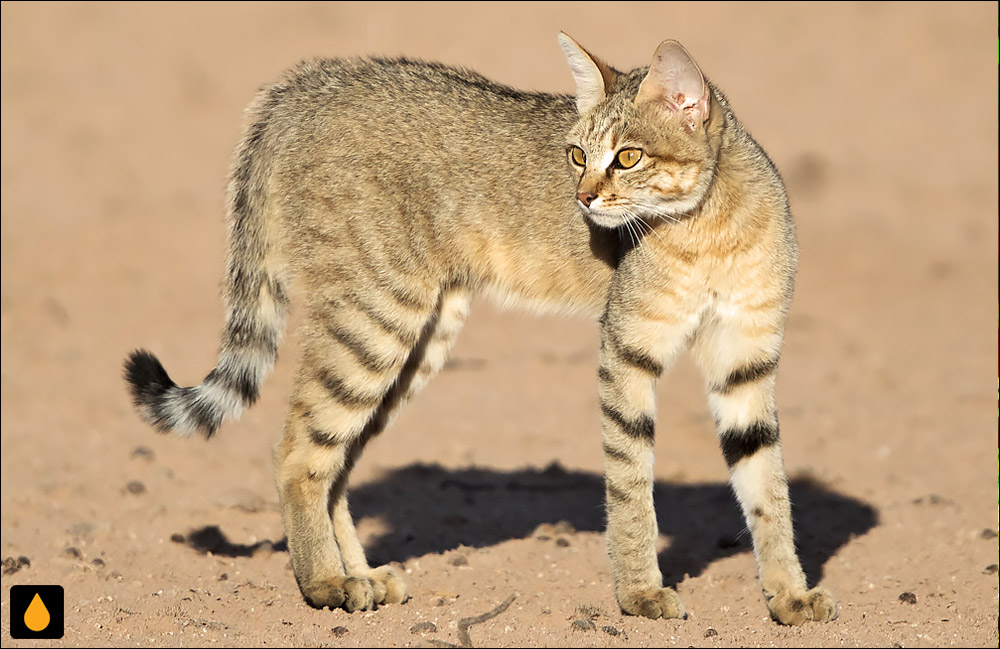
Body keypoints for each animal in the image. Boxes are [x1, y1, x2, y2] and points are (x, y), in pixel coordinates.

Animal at [123, 34, 836, 624]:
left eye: (628, 157)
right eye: (577, 154)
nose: (583, 198)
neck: (712, 230)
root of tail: (313, 80)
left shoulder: (746, 360)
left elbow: (767, 486)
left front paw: (789, 596)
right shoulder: (627, 347)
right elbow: (631, 482)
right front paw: (639, 592)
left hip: (417, 337)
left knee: (337, 461)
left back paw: (359, 576)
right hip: (377, 315)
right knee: (297, 450)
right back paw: (324, 583)